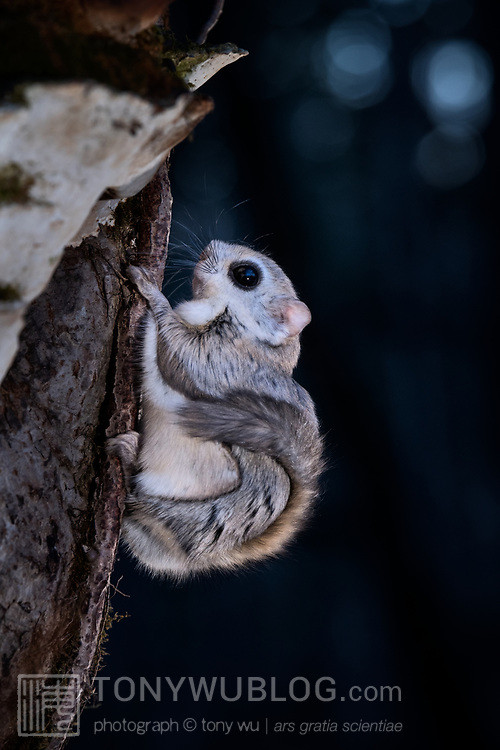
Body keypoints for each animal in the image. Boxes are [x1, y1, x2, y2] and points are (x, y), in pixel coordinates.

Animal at [108, 240, 324, 578]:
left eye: (246, 275)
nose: (209, 247)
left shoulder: (223, 362)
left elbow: (183, 356)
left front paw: (150, 289)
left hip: (204, 509)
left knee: (143, 502)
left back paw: (129, 456)